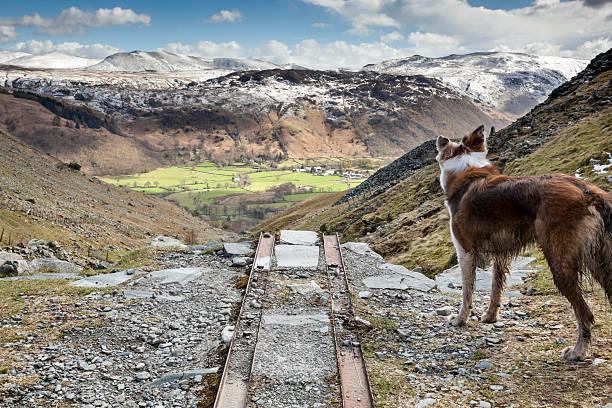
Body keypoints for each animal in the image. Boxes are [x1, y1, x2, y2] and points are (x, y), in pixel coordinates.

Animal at [436, 124, 612, 360]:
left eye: (448, 146)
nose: (440, 138)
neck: (467, 173)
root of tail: (587, 191)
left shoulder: (465, 251)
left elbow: (467, 291)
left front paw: (459, 319)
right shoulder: (499, 254)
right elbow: (496, 287)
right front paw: (490, 317)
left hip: (560, 261)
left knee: (585, 314)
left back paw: (578, 352)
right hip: (600, 260)